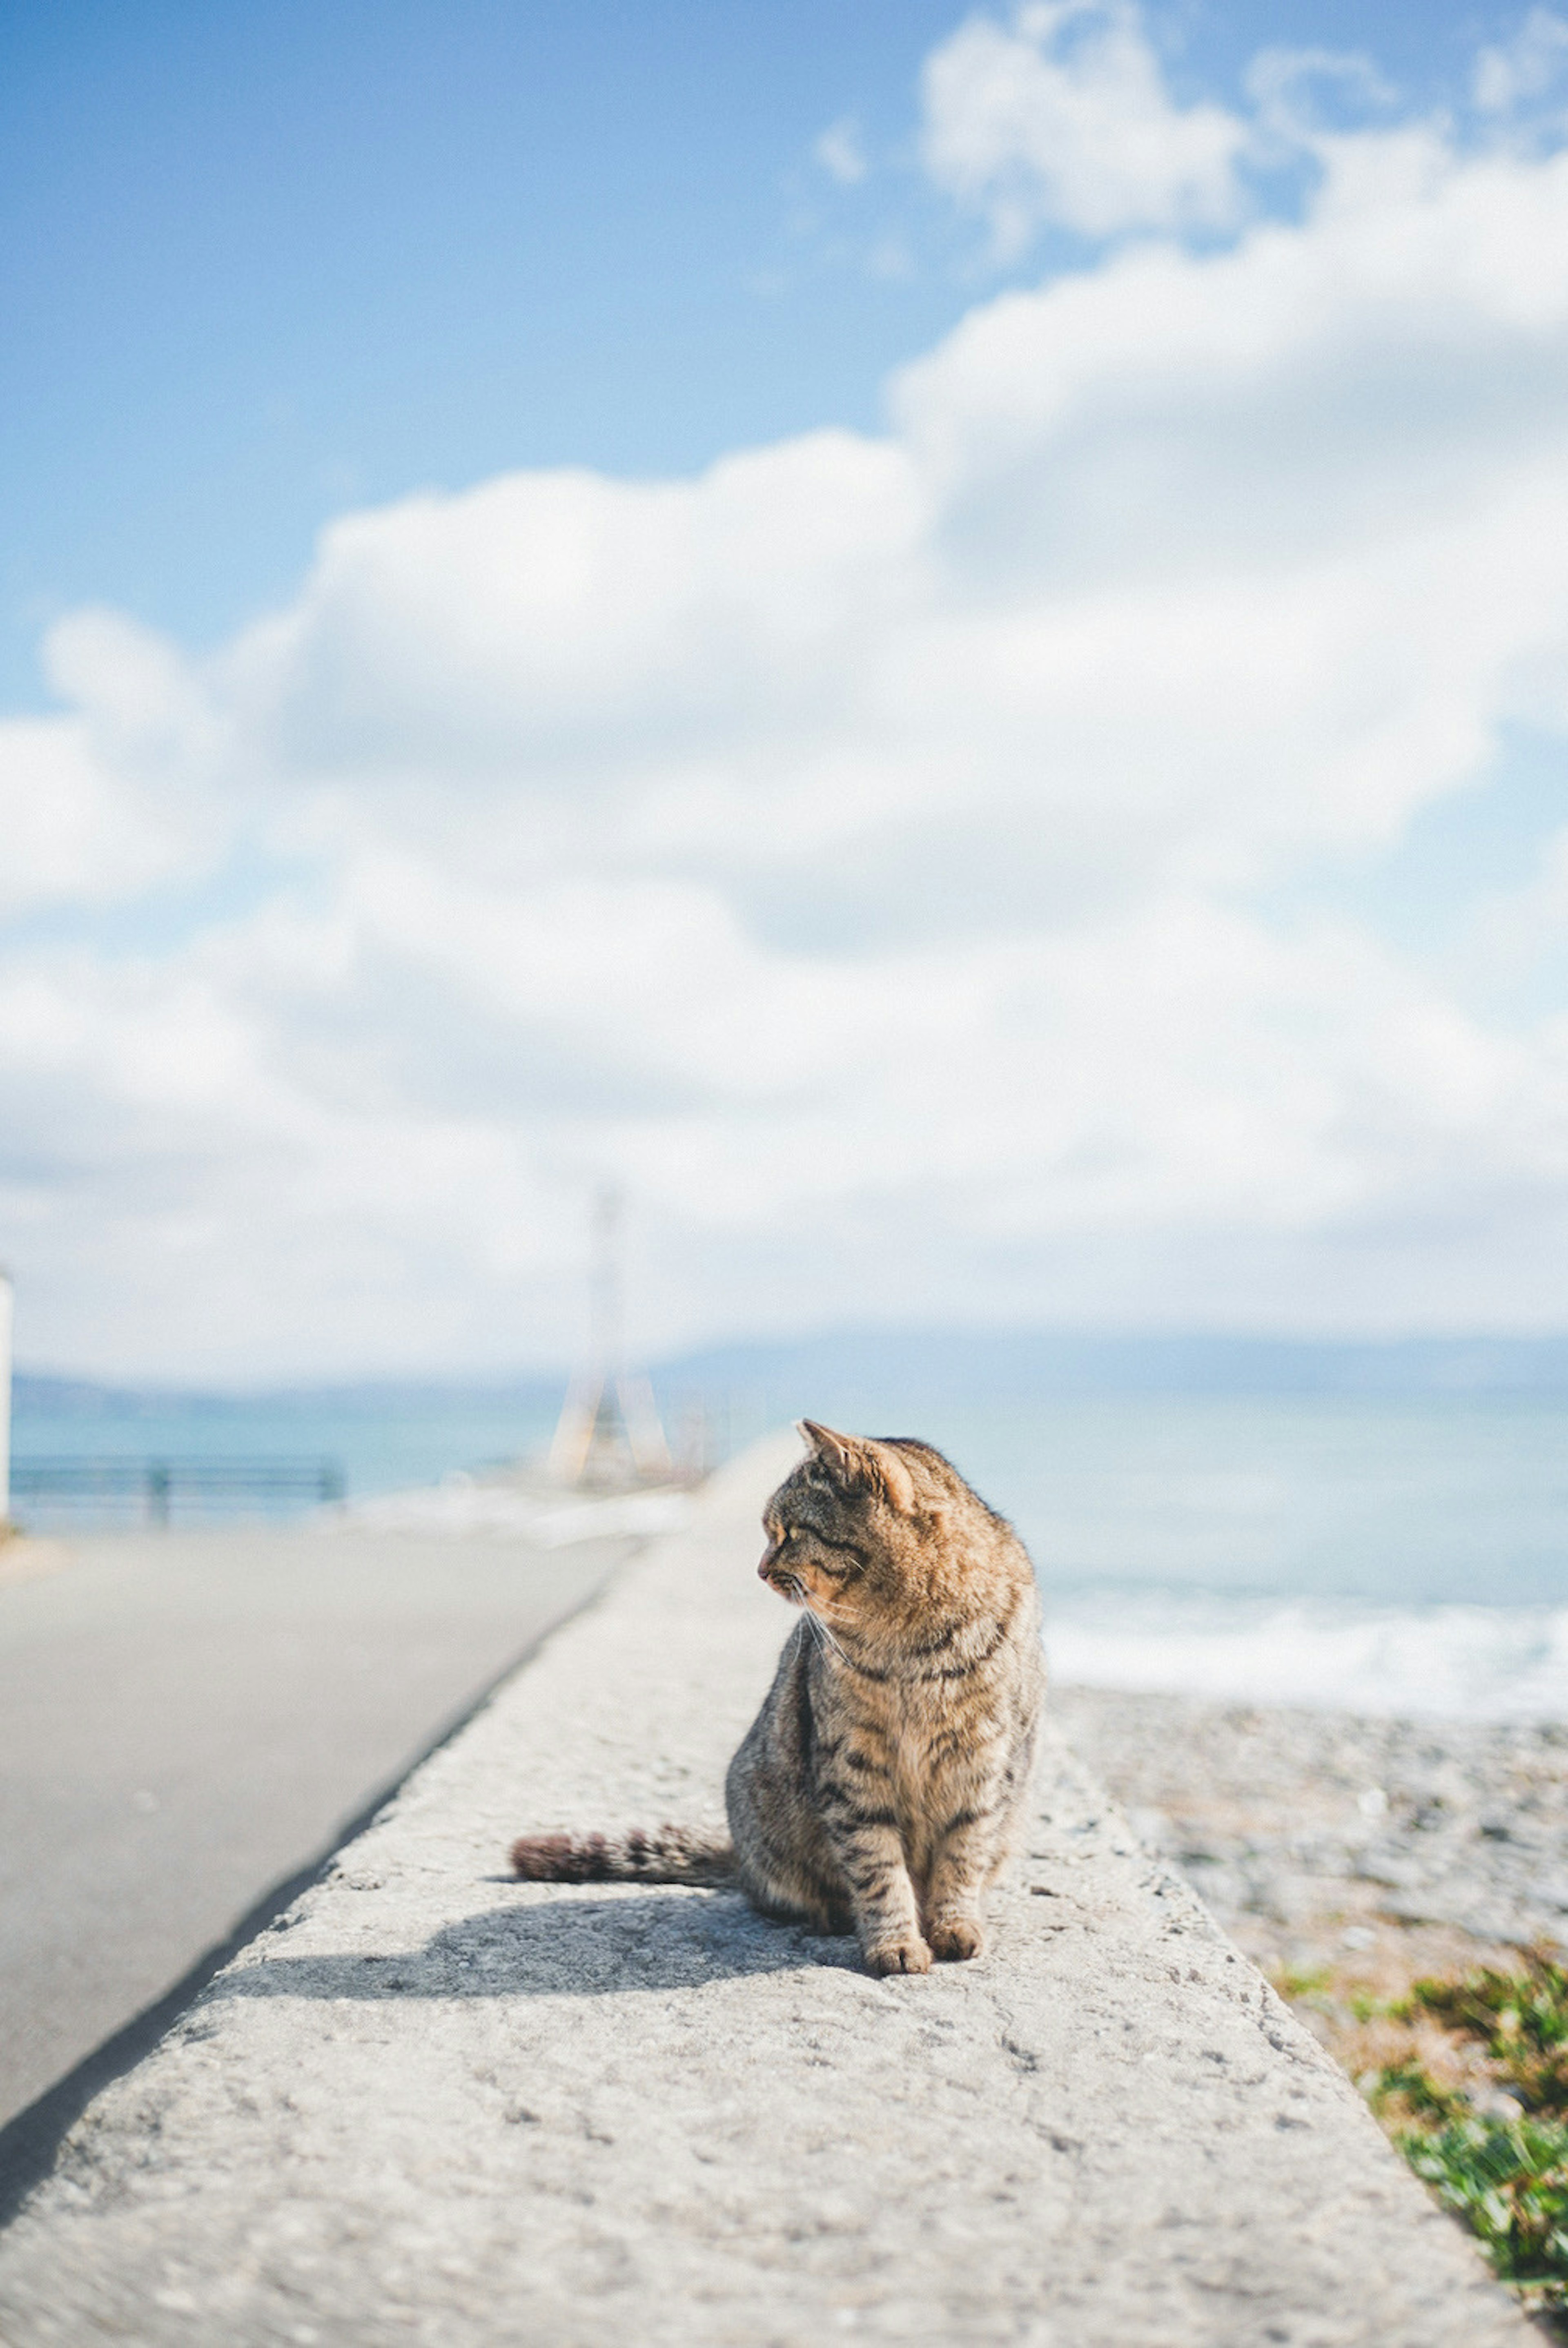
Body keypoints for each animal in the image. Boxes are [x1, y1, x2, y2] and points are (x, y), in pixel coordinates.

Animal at [512, 1418, 1042, 1972]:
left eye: (786, 1531)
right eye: (769, 1531)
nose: (760, 1570)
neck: (910, 1643)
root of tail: (738, 1857)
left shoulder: (985, 1765)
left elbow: (962, 1858)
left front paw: (955, 1925)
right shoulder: (850, 1767)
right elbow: (878, 1868)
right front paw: (895, 1943)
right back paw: (832, 1912)